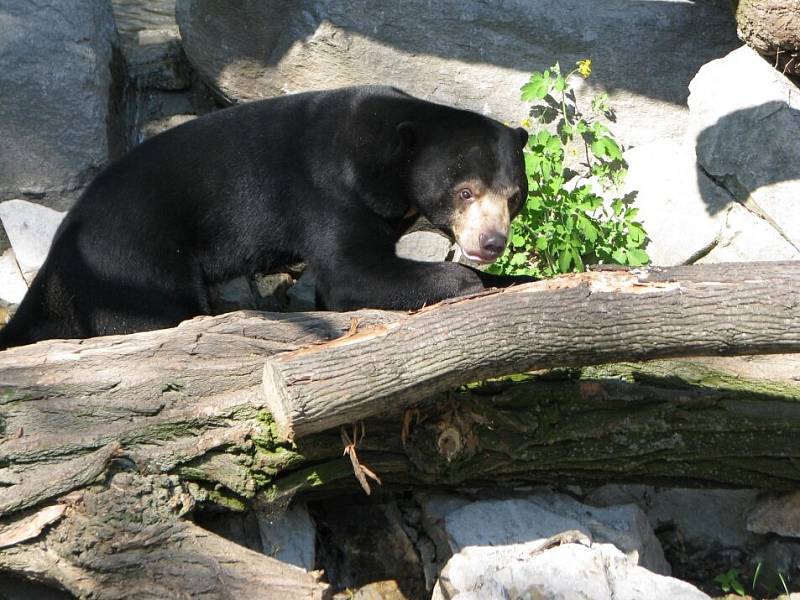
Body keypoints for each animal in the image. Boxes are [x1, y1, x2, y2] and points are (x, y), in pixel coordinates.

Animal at [0, 86, 532, 350]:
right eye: (465, 191)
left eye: (513, 197)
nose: (491, 242)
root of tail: (62, 249)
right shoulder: (328, 187)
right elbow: (353, 274)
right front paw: (466, 280)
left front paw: (512, 279)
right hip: (132, 259)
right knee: (154, 311)